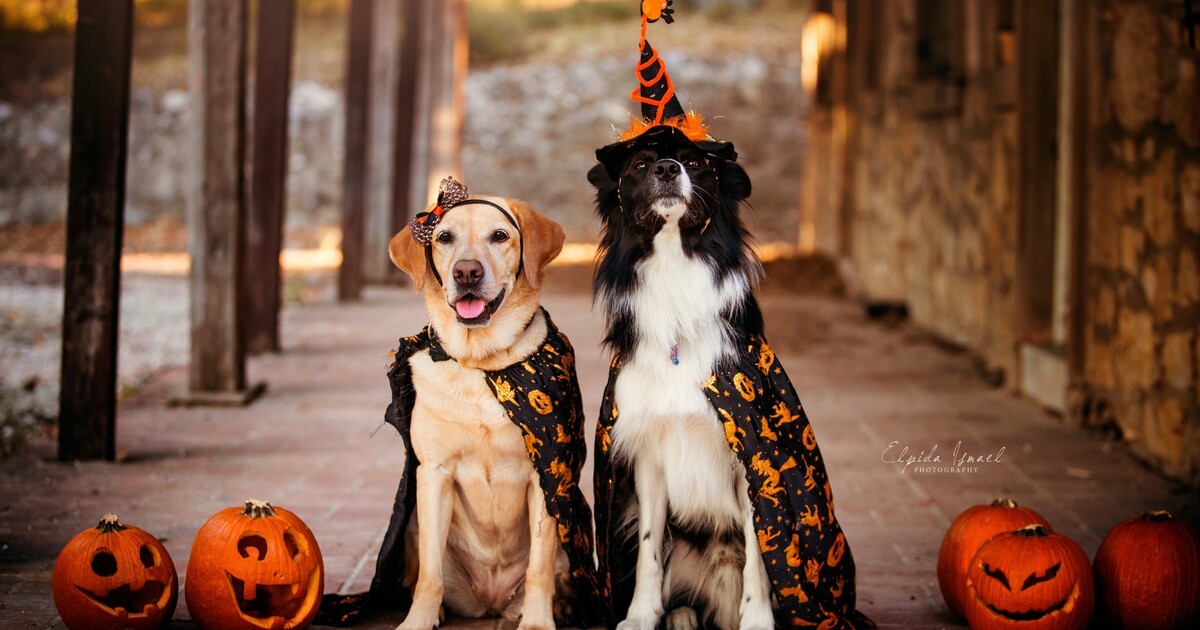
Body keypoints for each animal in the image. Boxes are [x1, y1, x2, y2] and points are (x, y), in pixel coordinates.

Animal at [381, 190, 583, 628]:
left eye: (499, 236)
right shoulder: (434, 472)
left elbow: (538, 568)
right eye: (444, 237)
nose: (467, 273)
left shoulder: (545, 474)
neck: (481, 364)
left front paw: (538, 621)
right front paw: (419, 619)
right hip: (413, 526)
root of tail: (490, 600)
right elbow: (430, 574)